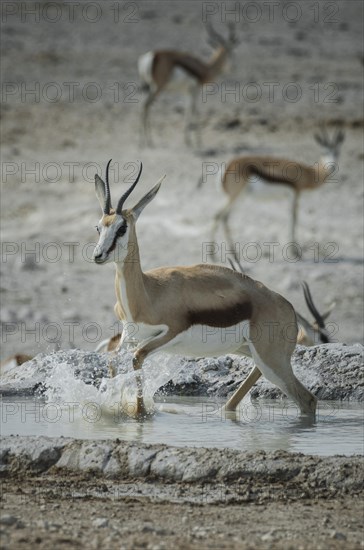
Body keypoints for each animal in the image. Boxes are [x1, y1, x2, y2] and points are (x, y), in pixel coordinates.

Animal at [91, 160, 316, 418]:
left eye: (122, 228)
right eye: (99, 227)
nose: (98, 255)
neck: (148, 292)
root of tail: (288, 306)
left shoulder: (168, 334)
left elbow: (137, 359)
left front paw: (139, 413)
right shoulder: (130, 336)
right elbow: (113, 360)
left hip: (272, 360)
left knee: (308, 399)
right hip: (249, 351)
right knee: (262, 379)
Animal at [202, 126, 344, 253]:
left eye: (337, 152)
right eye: (324, 152)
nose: (331, 167)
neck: (309, 173)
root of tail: (228, 166)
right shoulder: (295, 194)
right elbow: (294, 218)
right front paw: (294, 252)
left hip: (239, 197)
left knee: (225, 218)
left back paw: (232, 252)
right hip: (234, 196)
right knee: (218, 215)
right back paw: (212, 254)